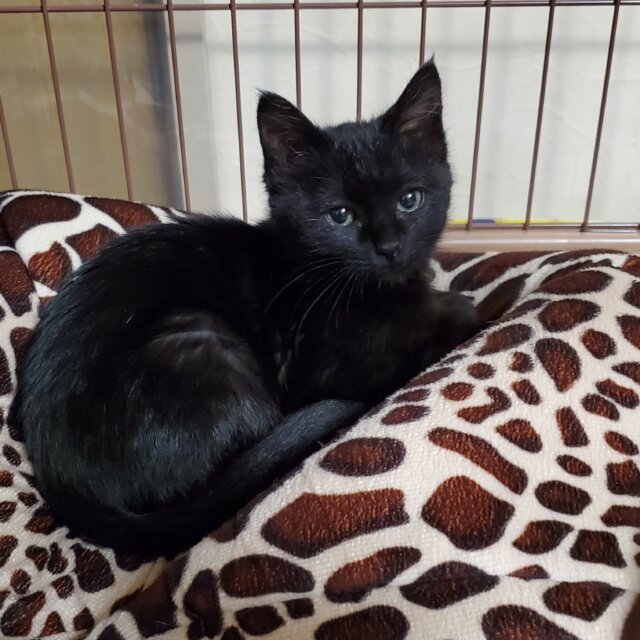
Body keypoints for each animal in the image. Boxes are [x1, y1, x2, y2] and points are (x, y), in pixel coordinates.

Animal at [14, 59, 479, 558]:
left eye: (410, 199)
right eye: (340, 216)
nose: (390, 249)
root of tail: (64, 480)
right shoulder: (318, 372)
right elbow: (441, 325)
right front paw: (458, 309)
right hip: (200, 340)